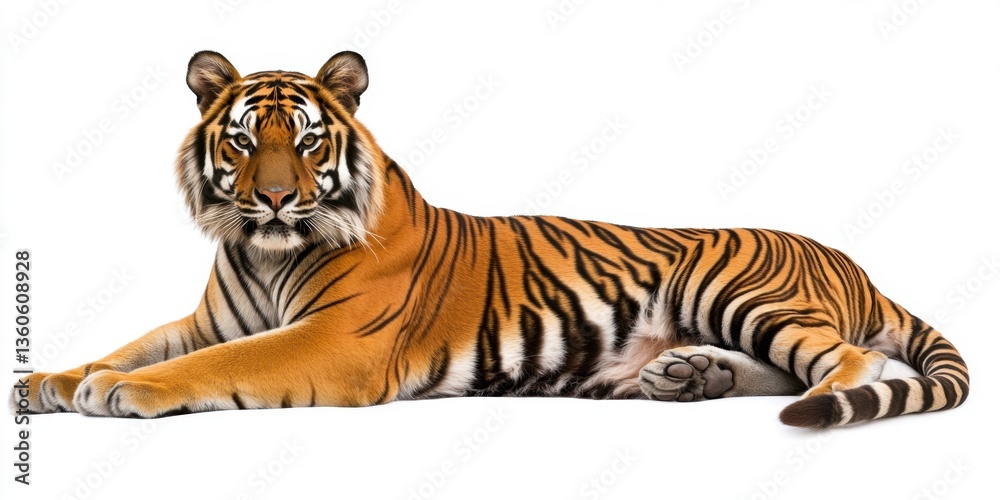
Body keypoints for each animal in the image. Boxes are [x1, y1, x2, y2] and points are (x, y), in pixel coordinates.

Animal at [9, 51, 969, 428]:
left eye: (307, 142)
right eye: (245, 142)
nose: (275, 199)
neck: (261, 250)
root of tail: (855, 261)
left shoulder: (335, 342)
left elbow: (205, 367)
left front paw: (117, 392)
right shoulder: (210, 320)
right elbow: (135, 342)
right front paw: (50, 379)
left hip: (737, 289)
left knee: (849, 362)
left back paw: (796, 404)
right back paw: (686, 377)